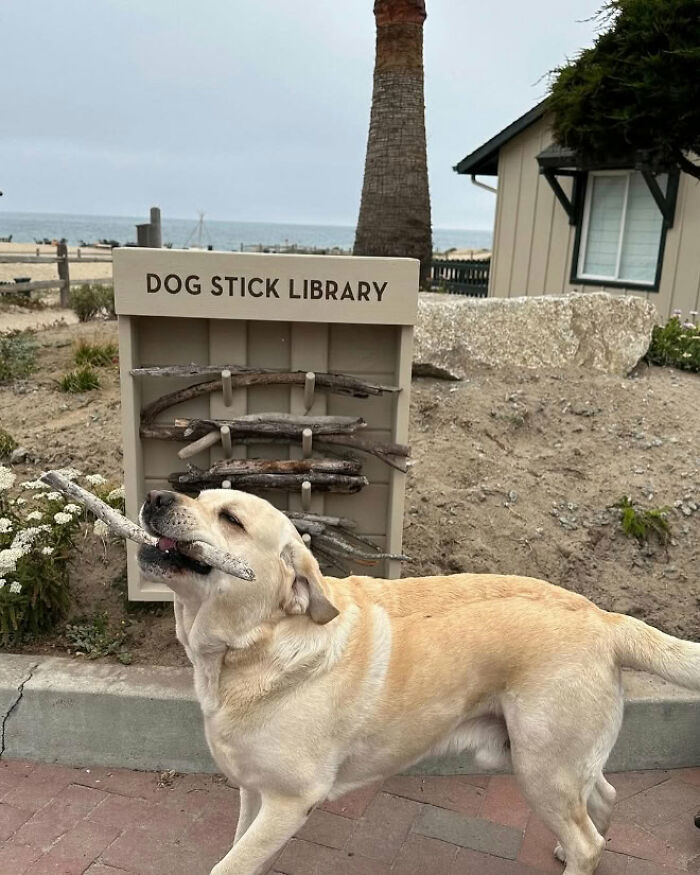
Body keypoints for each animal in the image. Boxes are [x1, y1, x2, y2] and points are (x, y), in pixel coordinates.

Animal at [138, 490, 700, 872]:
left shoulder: (289, 800)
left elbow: (230, 863)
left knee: (591, 840)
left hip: (542, 765)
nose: (156, 496)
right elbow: (239, 852)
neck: (253, 645)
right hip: (558, 759)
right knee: (603, 798)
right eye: (198, 494)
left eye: (231, 519)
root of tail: (605, 619)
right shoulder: (253, 791)